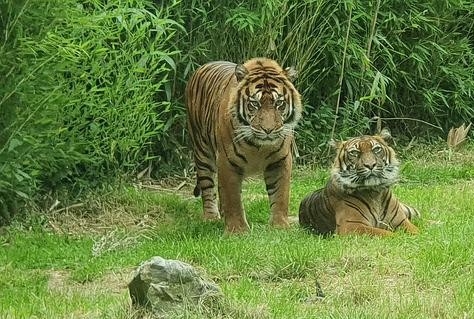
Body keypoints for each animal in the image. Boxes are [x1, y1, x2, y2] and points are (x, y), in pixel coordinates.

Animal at [184, 57, 300, 234]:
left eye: (279, 103)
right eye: (254, 104)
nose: (268, 130)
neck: (258, 146)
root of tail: (201, 67)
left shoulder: (281, 160)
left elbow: (281, 194)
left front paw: (280, 226)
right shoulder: (227, 161)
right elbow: (233, 198)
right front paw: (237, 230)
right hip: (202, 151)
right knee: (207, 185)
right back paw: (211, 217)